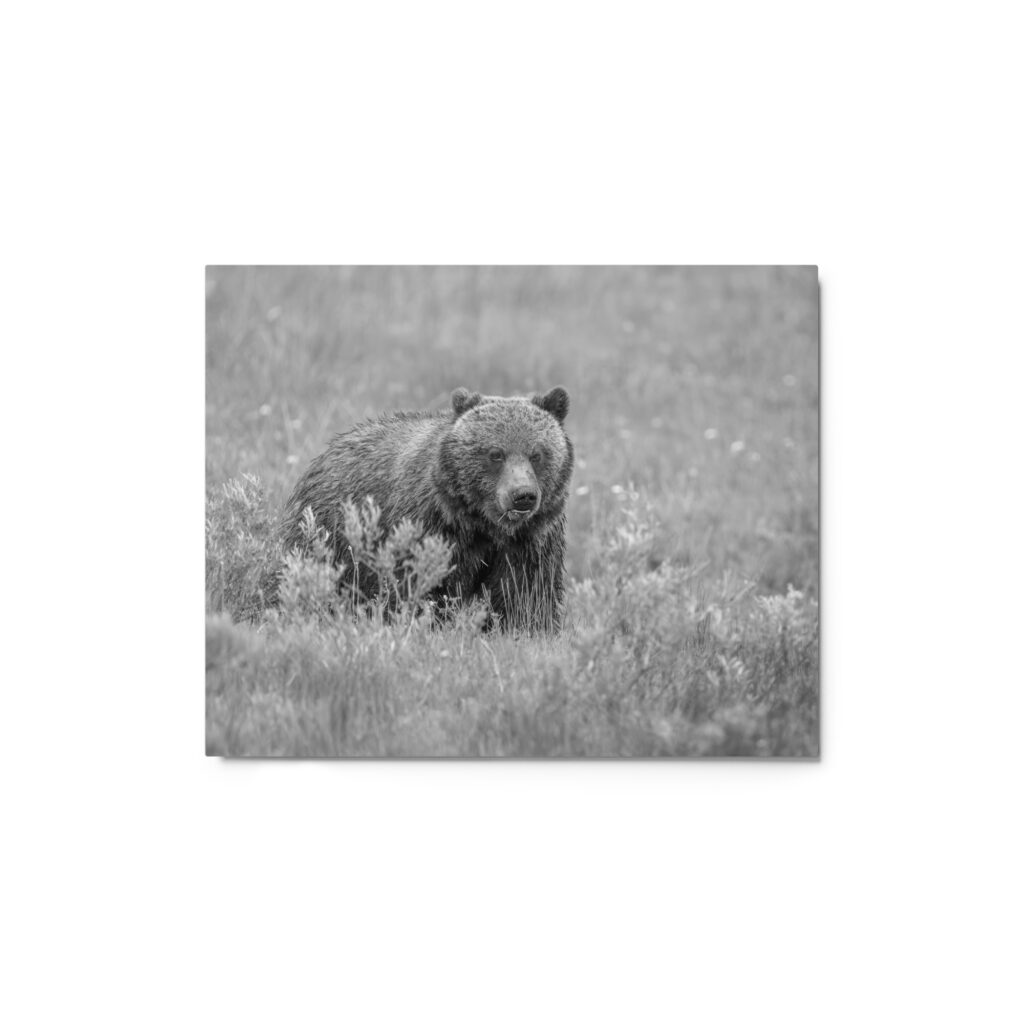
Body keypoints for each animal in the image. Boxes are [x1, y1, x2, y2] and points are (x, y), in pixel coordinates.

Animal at [280, 386, 574, 631]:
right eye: (495, 453)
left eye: (537, 454)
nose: (522, 495)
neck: (482, 524)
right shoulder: (430, 526)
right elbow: (420, 584)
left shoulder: (531, 539)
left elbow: (526, 593)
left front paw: (526, 629)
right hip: (329, 533)